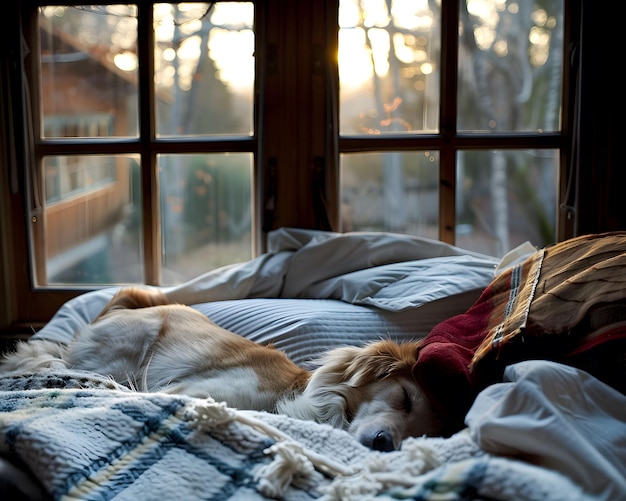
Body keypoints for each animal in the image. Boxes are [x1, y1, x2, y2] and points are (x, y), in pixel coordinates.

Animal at [0, 288, 438, 452]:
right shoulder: (189, 394)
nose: (385, 443)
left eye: (427, 436)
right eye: (403, 398)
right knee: (53, 360)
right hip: (124, 355)